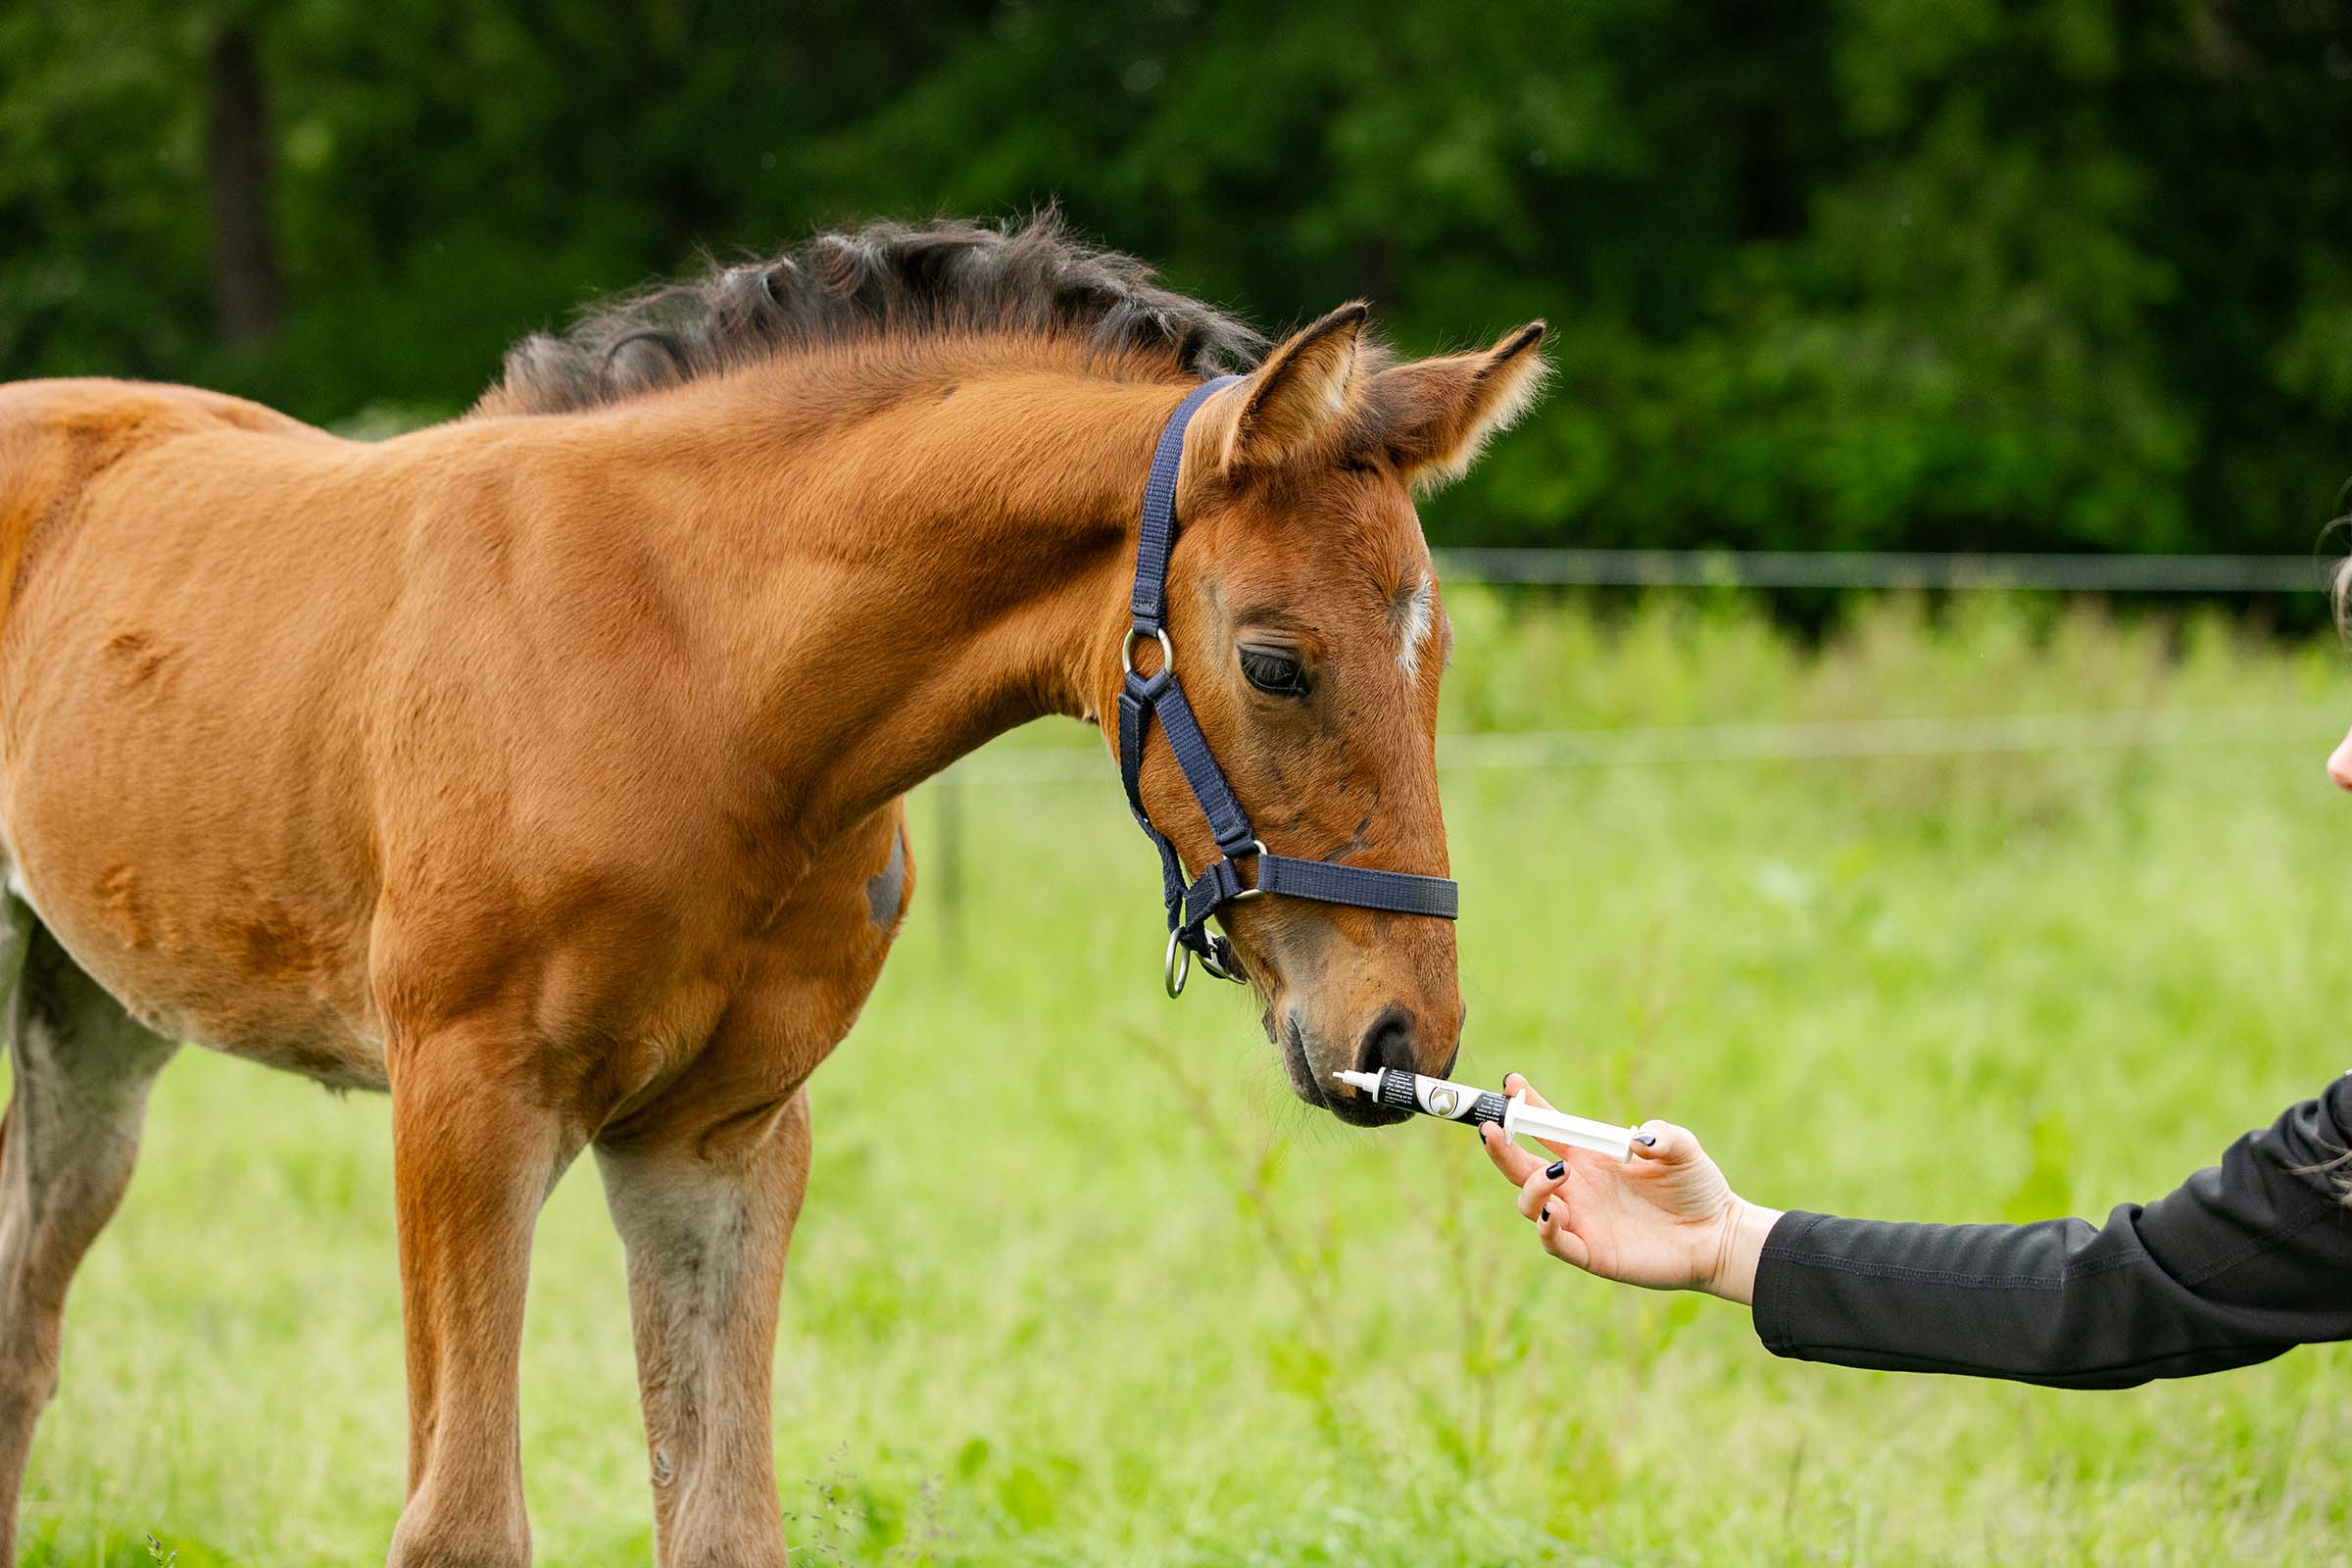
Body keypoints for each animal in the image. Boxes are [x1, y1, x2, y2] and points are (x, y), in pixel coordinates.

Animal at [0, 216, 1545, 1565]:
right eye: (1277, 663)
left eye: (1439, 655)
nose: (1403, 1035)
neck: (695, 670)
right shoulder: (462, 1101)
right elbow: (462, 1524)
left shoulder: (718, 1139)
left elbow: (724, 1519)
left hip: (92, 1022)